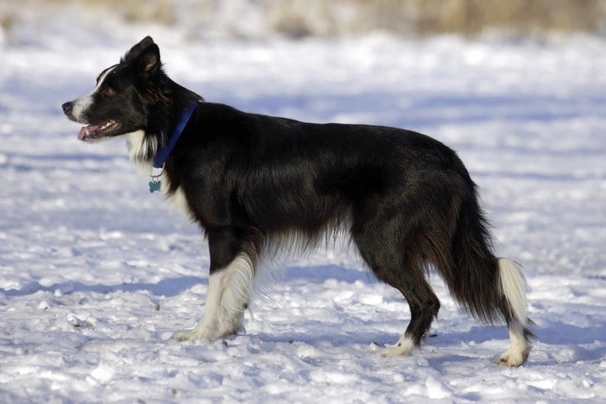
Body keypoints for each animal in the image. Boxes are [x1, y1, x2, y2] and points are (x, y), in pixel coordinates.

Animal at [61, 37, 536, 366]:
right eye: (97, 84)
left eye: (109, 91)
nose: (65, 105)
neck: (178, 127)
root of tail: (450, 159)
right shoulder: (247, 236)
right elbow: (237, 288)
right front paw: (227, 332)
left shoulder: (224, 231)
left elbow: (214, 289)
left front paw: (198, 335)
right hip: (437, 236)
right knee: (492, 277)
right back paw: (515, 354)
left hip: (380, 239)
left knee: (431, 299)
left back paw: (399, 351)